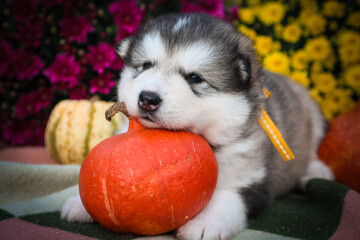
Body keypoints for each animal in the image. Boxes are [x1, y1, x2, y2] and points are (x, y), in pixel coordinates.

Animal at [60, 13, 334, 240]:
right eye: (146, 66)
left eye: (195, 78)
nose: (147, 98)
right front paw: (79, 202)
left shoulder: (251, 177)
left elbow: (228, 196)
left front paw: (205, 223)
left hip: (314, 117)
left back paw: (318, 170)